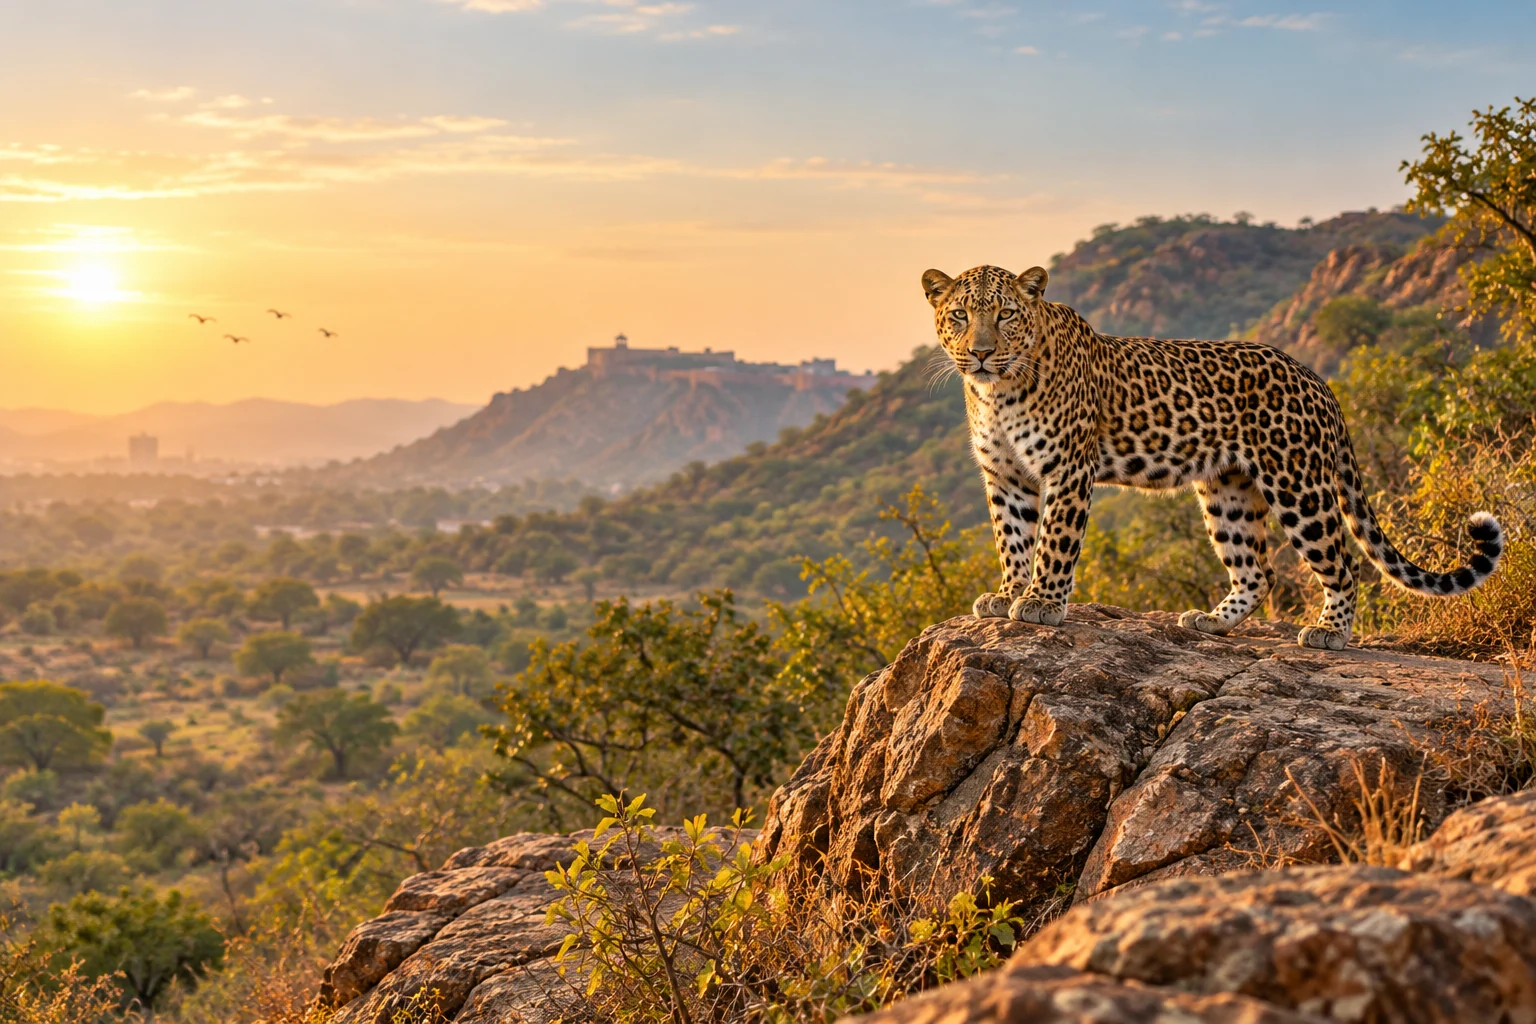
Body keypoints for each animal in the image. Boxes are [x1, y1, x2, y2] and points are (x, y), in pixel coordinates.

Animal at [921, 263, 1505, 650]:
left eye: (1006, 315)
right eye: (959, 315)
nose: (980, 352)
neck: (996, 392)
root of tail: (1318, 379)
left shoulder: (1066, 470)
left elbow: (1053, 544)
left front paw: (1041, 602)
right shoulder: (1006, 476)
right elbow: (1013, 541)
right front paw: (1006, 594)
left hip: (1298, 485)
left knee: (1343, 561)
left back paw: (1328, 632)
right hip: (1228, 490)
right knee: (1256, 571)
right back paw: (1213, 622)